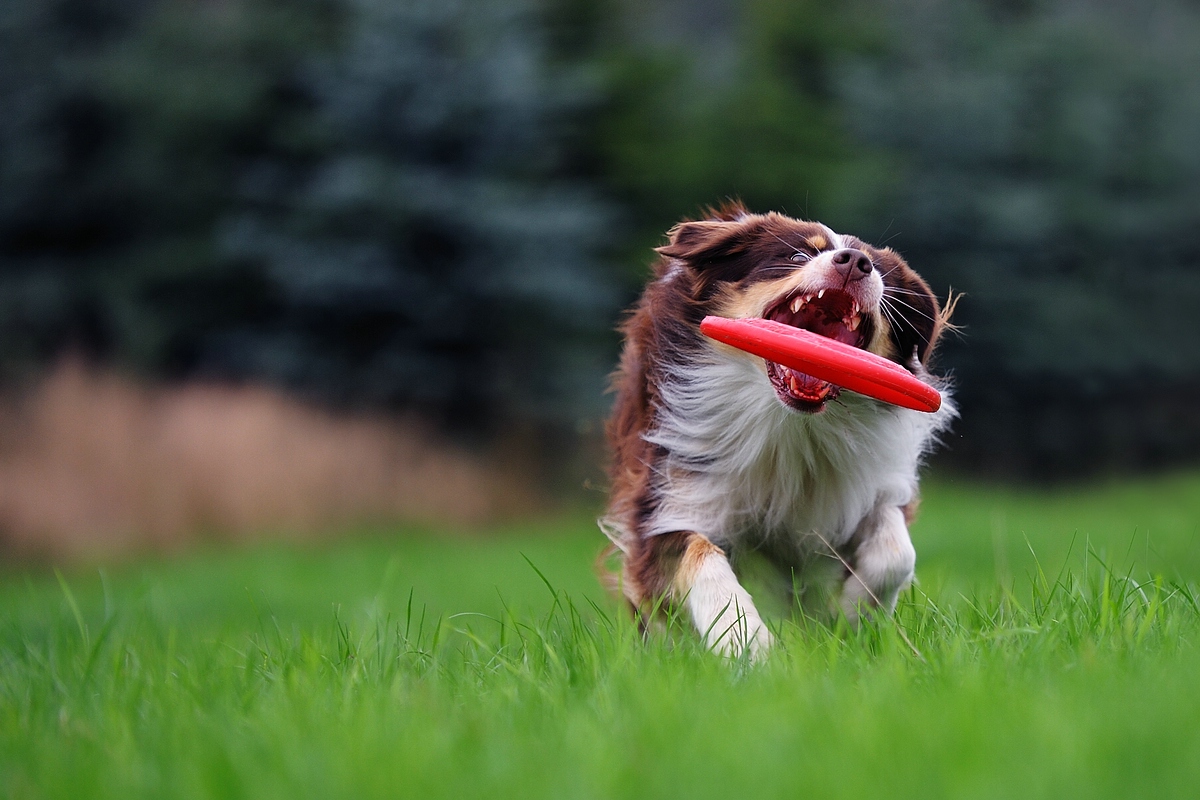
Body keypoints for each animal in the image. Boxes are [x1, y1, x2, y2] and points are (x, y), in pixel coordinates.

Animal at [600, 203, 955, 662]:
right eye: (796, 255)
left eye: (876, 268)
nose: (854, 262)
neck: (792, 426)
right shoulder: (670, 494)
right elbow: (699, 554)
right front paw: (745, 641)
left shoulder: (867, 486)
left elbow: (896, 552)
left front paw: (852, 615)